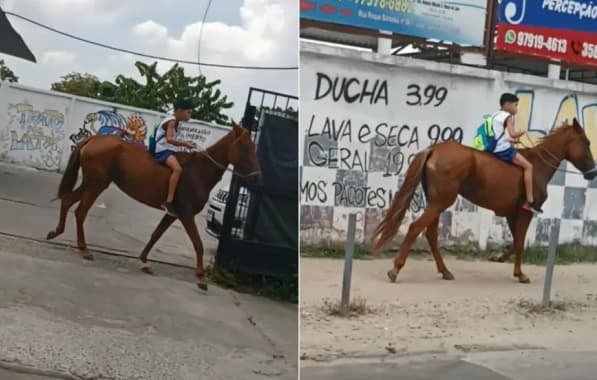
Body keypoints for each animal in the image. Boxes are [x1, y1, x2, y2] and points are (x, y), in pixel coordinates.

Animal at [46, 123, 260, 290]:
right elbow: (198, 244)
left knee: (68, 201)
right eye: (244, 146)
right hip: (97, 184)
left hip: (91, 182)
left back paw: (56, 232)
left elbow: (156, 235)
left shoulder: (173, 214)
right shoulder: (186, 214)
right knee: (81, 211)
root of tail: (93, 139)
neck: (198, 172)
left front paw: (144, 261)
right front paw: (200, 278)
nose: (257, 177)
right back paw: (84, 249)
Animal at [372, 120, 596, 284]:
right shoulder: (525, 212)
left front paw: (501, 260)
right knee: (415, 228)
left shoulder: (512, 214)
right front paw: (520, 274)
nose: (592, 172)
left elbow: (517, 242)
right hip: (441, 202)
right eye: (586, 142)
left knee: (431, 233)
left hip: (436, 202)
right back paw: (395, 269)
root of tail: (434, 150)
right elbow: (520, 242)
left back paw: (445, 271)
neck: (537, 166)